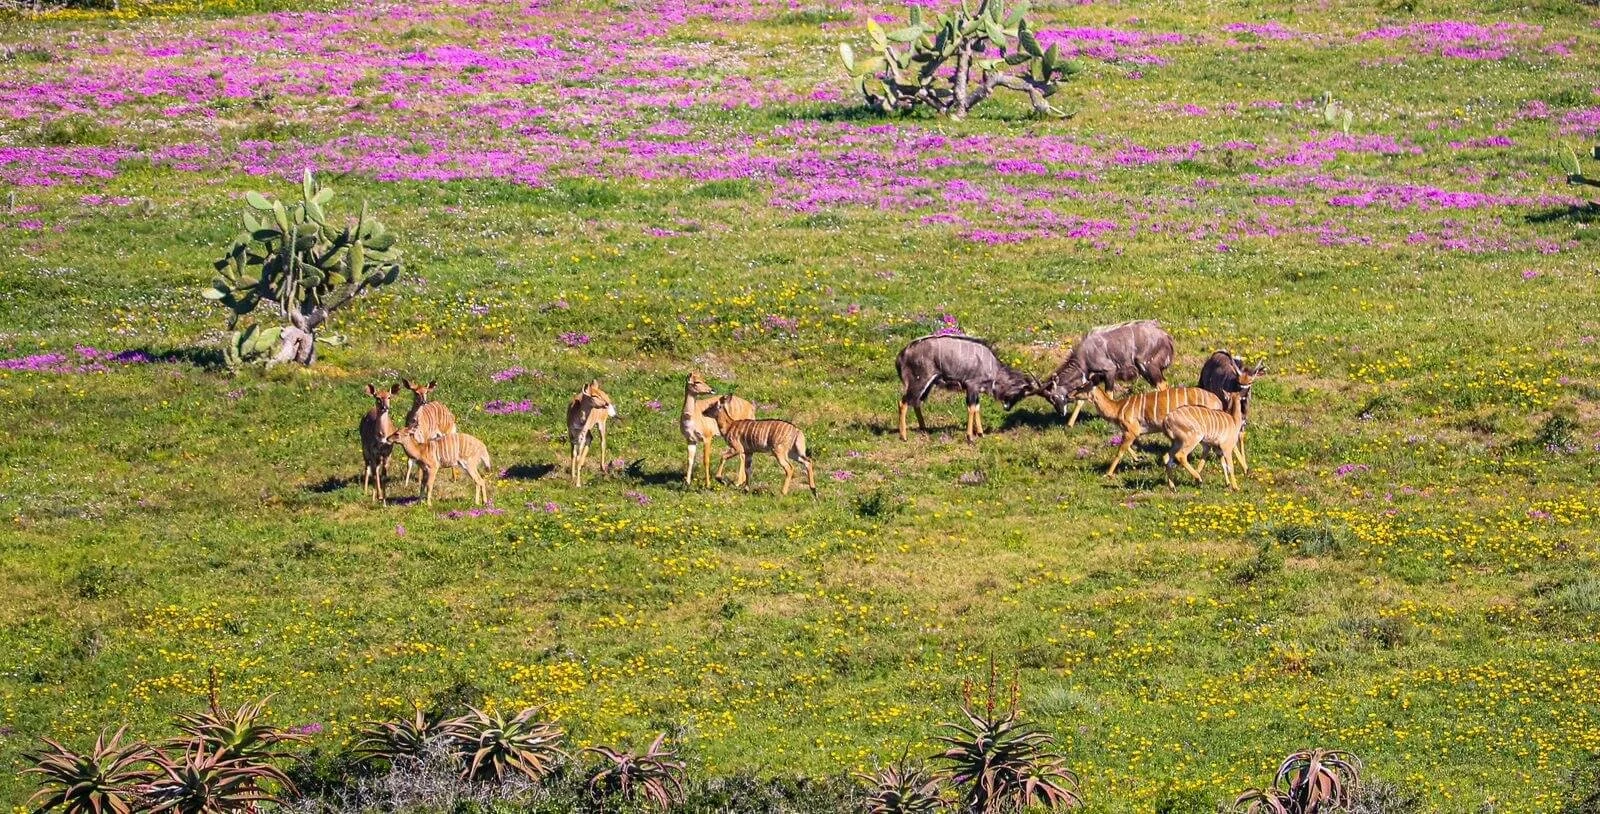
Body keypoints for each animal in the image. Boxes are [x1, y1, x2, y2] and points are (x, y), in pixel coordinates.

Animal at [895, 334, 1039, 443]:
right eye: (1020, 394)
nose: (1007, 408)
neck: (993, 368)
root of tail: (901, 355)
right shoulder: (971, 386)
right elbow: (971, 408)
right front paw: (970, 437)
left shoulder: (976, 390)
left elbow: (977, 408)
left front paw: (980, 433)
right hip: (919, 380)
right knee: (903, 402)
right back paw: (904, 436)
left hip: (928, 385)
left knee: (916, 402)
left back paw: (924, 429)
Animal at [1075, 382, 1223, 477]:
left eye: (1081, 387)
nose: (1071, 394)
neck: (1118, 408)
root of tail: (1217, 401)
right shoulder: (1130, 432)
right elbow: (1127, 447)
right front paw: (1138, 458)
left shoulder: (1132, 430)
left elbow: (1120, 451)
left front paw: (1108, 474)